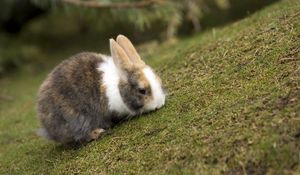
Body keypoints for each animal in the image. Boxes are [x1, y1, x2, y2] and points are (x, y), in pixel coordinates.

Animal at [37, 34, 166, 144]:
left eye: (159, 80)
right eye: (142, 90)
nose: (159, 104)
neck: (119, 87)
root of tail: (47, 128)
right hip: (75, 119)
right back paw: (98, 132)